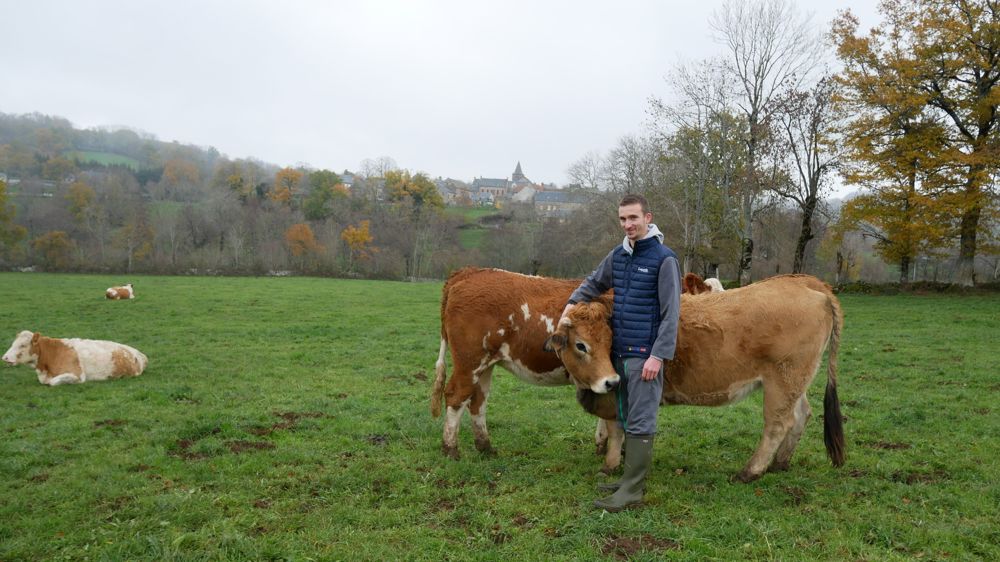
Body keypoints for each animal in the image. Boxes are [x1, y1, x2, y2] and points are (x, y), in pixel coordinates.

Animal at [2, 330, 148, 386]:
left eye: (22, 345)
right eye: (13, 343)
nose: (4, 358)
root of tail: (139, 353)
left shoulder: (77, 375)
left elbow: (52, 382)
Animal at [430, 267, 622, 472]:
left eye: (610, 342)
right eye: (581, 346)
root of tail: (467, 272)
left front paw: (603, 445)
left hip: (484, 366)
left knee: (477, 401)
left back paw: (485, 447)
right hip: (469, 364)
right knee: (456, 397)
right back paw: (450, 449)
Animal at [545, 274, 845, 483]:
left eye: (607, 342)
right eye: (581, 345)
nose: (610, 380)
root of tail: (807, 282)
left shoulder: (617, 395)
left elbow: (616, 428)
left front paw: (610, 464)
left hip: (782, 381)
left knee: (777, 424)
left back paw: (750, 471)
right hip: (795, 381)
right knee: (802, 414)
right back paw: (780, 463)